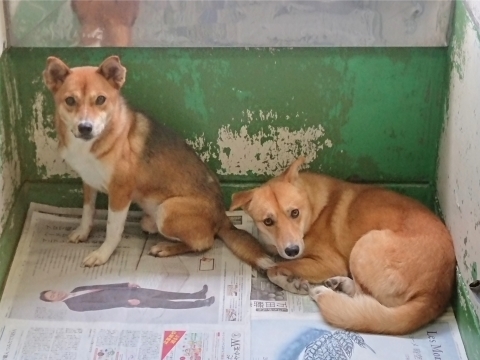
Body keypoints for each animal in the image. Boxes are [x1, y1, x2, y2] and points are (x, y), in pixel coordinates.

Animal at [42, 55, 274, 270]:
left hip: (167, 210)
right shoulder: (88, 182)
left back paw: (165, 248)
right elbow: (87, 212)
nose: (85, 127)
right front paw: (83, 232)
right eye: (70, 101)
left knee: (204, 242)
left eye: (100, 99)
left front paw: (102, 254)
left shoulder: (120, 192)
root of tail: (222, 216)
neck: (92, 144)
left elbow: (112, 229)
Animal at [231, 158, 456, 334]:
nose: (292, 250)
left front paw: (291, 282)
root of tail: (436, 293)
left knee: (366, 299)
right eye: (268, 221)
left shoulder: (330, 262)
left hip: (364, 245)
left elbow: (274, 269)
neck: (313, 210)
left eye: (294, 213)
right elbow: (275, 264)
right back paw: (340, 284)